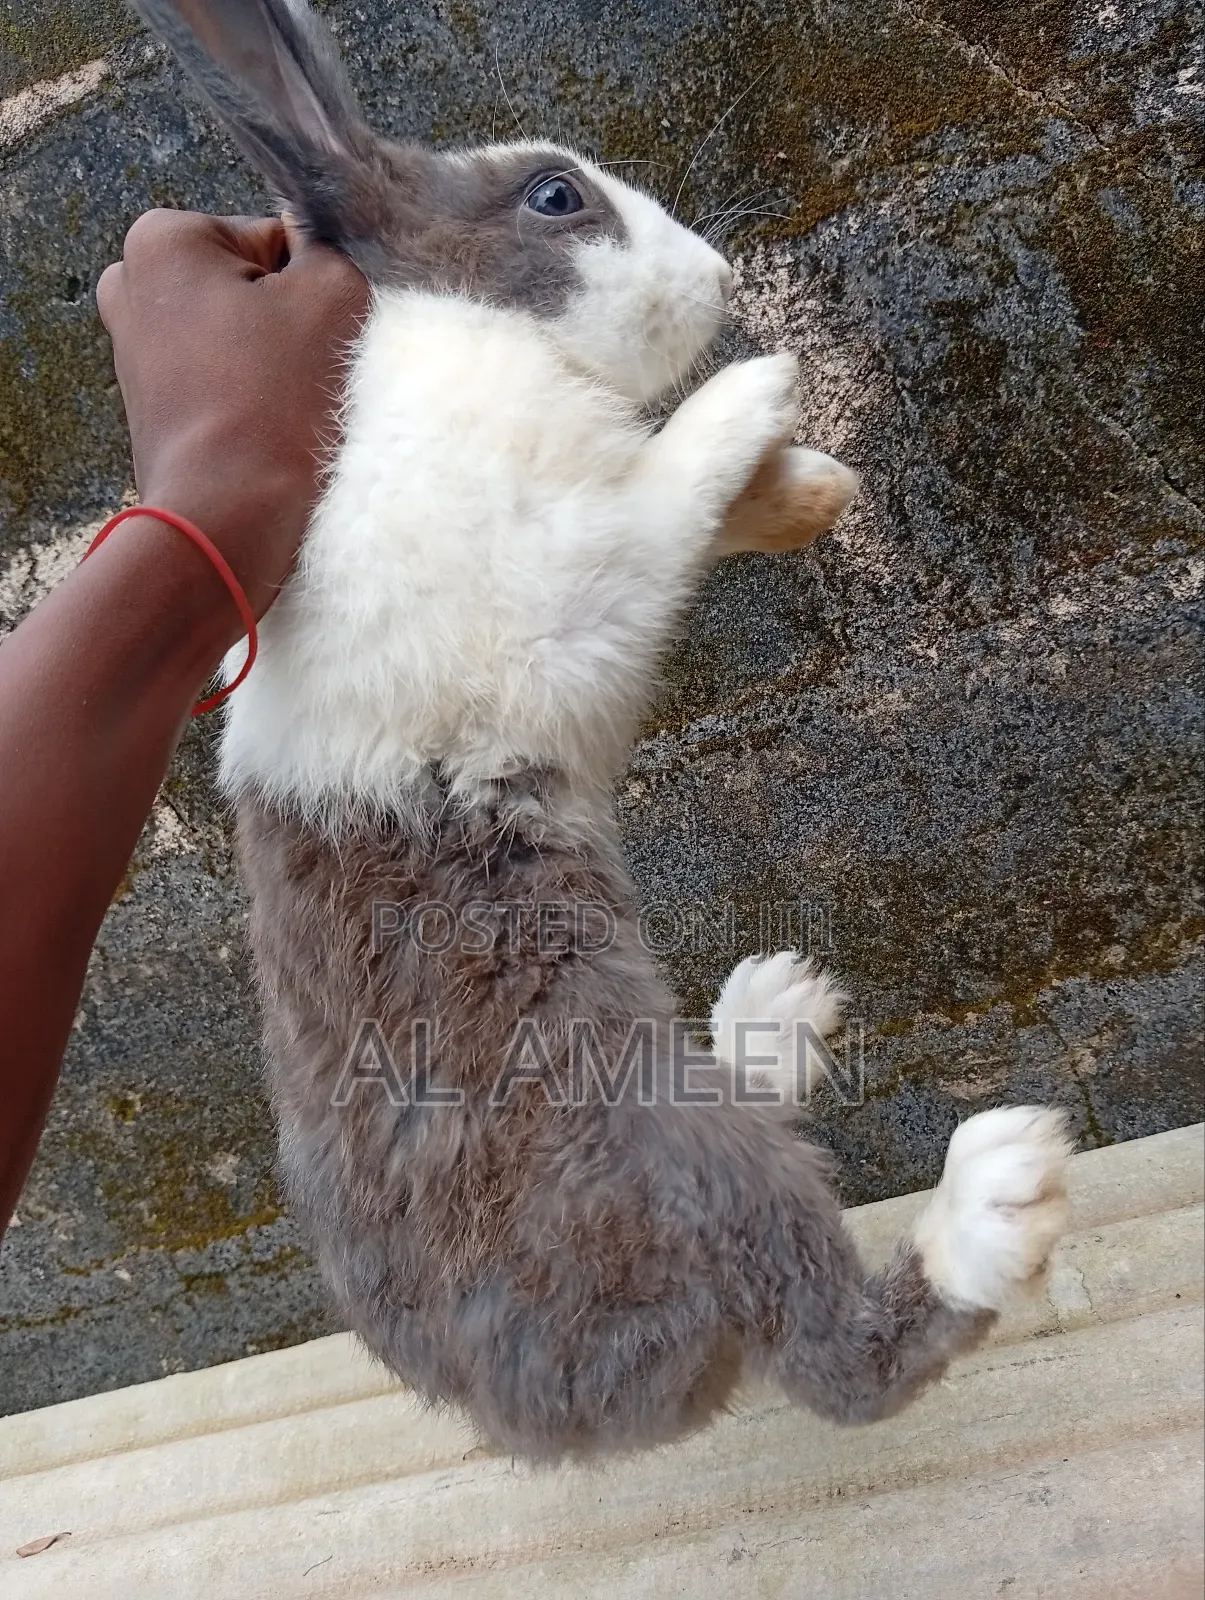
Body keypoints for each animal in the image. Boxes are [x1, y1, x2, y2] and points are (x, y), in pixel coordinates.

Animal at [132, 0, 1073, 1459]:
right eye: (556, 197)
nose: (718, 274)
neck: (475, 333)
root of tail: (538, 1414)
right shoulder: (575, 574)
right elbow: (670, 482)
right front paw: (762, 388)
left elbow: (706, 507)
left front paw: (808, 489)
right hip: (678, 1166)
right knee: (833, 1353)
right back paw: (997, 1190)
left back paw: (776, 1008)